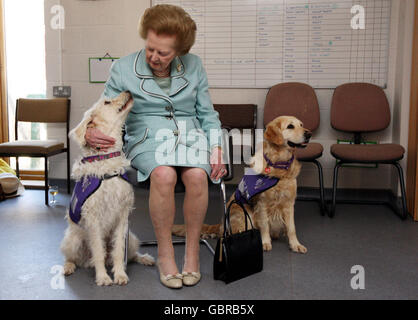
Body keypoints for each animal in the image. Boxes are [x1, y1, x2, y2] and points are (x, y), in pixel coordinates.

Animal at [60, 90, 155, 284]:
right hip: (72, 240)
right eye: (106, 102)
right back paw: (68, 267)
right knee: (71, 258)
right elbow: (98, 251)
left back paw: (145, 258)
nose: (128, 91)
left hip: (131, 238)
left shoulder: (122, 218)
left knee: (131, 255)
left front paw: (119, 274)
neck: (106, 159)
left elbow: (118, 251)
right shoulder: (94, 219)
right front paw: (103, 277)